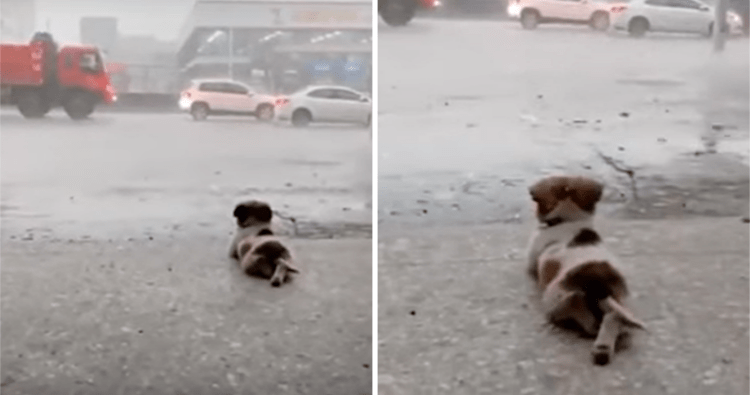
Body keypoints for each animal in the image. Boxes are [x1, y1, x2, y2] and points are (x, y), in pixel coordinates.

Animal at [524, 175, 648, 366]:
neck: (569, 220)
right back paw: (602, 348)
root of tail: (598, 280)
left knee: (577, 309)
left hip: (553, 295)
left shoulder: (531, 259)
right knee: (613, 318)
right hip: (621, 302)